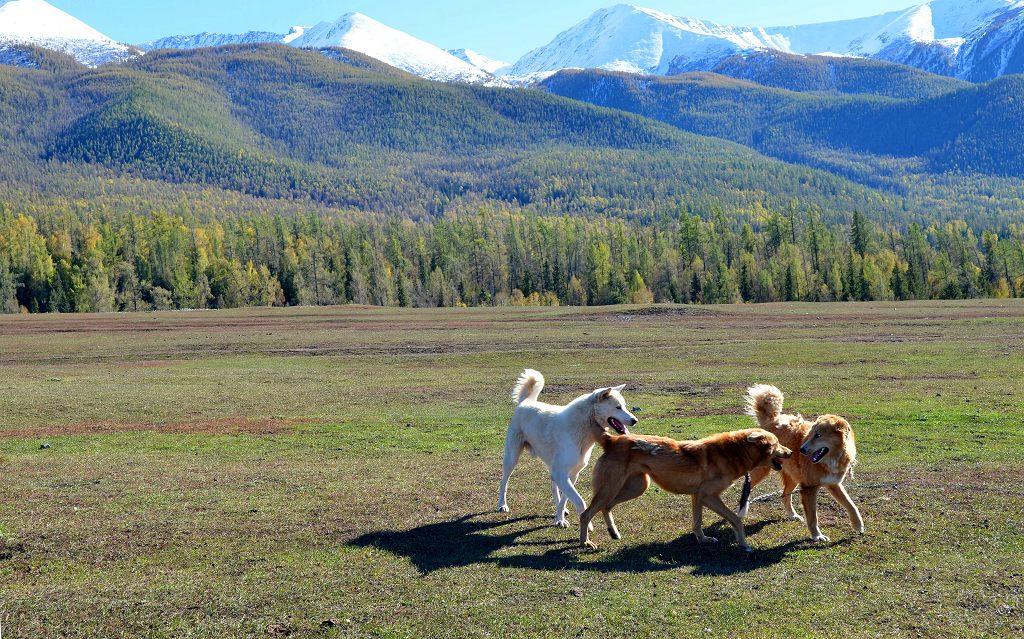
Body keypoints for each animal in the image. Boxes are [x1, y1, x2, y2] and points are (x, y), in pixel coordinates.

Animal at [497, 368, 634, 528]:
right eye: (618, 407)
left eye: (624, 406)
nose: (635, 420)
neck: (584, 427)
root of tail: (525, 402)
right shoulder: (562, 474)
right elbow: (579, 500)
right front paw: (585, 523)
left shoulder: (572, 474)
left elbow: (565, 498)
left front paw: (560, 517)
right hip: (512, 458)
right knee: (503, 482)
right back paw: (502, 505)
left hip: (551, 465)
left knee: (553, 485)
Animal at [585, 426, 790, 552]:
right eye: (777, 443)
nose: (791, 452)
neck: (734, 452)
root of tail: (612, 439)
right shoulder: (709, 496)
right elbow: (736, 520)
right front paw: (743, 544)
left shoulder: (697, 497)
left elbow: (697, 523)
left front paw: (703, 540)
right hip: (611, 488)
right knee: (586, 514)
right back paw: (585, 542)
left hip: (636, 487)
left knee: (606, 507)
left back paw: (613, 532)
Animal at [745, 380, 864, 540]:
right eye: (810, 434)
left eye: (818, 435)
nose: (801, 450)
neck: (830, 459)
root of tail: (772, 420)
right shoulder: (809, 488)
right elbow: (813, 517)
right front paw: (817, 536)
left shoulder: (833, 484)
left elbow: (851, 505)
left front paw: (858, 524)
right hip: (762, 471)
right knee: (748, 488)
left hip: (793, 477)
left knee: (785, 496)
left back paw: (792, 515)